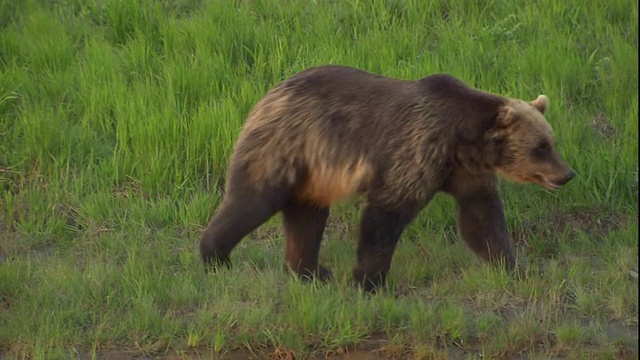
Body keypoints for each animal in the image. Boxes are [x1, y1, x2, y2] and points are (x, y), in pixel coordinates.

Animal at [196, 65, 576, 292]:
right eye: (541, 147)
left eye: (552, 142)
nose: (567, 174)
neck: (462, 141)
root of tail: (267, 94)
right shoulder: (416, 150)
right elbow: (386, 214)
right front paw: (369, 280)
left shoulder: (468, 173)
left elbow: (482, 221)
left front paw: (516, 268)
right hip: (285, 148)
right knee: (252, 200)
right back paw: (215, 256)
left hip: (315, 175)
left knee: (306, 217)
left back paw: (310, 272)